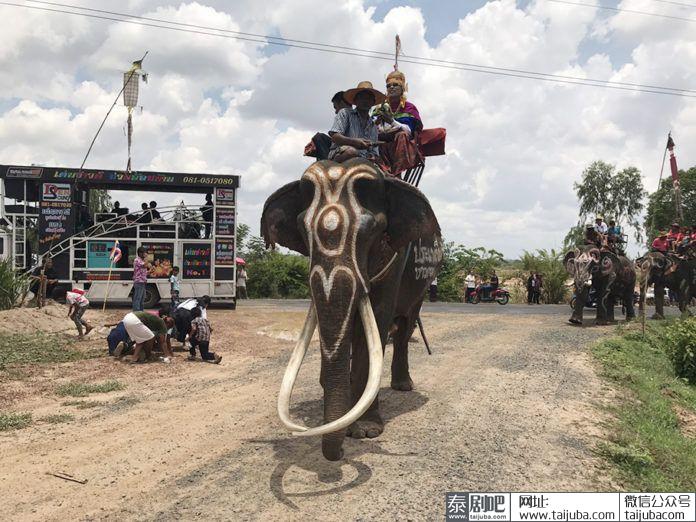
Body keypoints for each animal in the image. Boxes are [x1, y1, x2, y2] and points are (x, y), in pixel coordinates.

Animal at [260, 158, 440, 460]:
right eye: (303, 232)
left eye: (372, 232)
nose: (341, 453)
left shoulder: (396, 257)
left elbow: (378, 317)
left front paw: (365, 431)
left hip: (422, 285)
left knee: (405, 326)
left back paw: (403, 386)